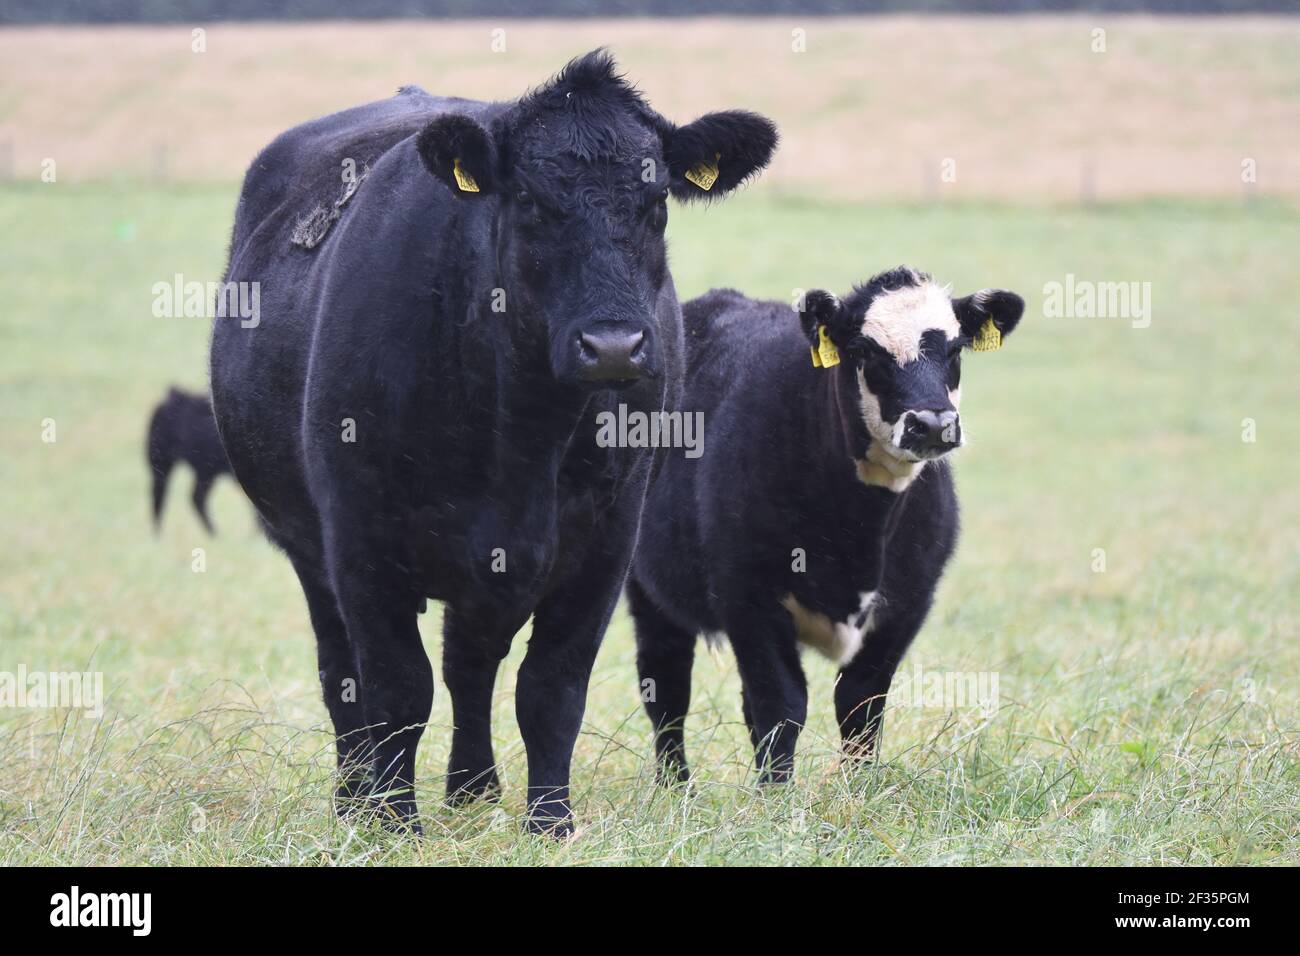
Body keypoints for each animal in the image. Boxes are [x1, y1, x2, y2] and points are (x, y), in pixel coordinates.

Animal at [209, 50, 777, 835]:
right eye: (531, 202)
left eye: (657, 203)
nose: (613, 346)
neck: (524, 431)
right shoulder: (359, 535)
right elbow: (396, 685)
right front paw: (396, 825)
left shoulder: (606, 541)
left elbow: (550, 687)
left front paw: (551, 824)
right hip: (306, 543)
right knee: (342, 670)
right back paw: (356, 801)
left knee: (470, 666)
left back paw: (472, 791)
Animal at [627, 267, 1025, 785]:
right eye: (865, 351)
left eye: (955, 349)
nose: (933, 423)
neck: (862, 530)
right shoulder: (748, 598)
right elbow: (781, 706)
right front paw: (776, 797)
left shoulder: (908, 602)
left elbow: (860, 705)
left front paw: (859, 792)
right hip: (646, 588)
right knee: (667, 686)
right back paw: (677, 788)